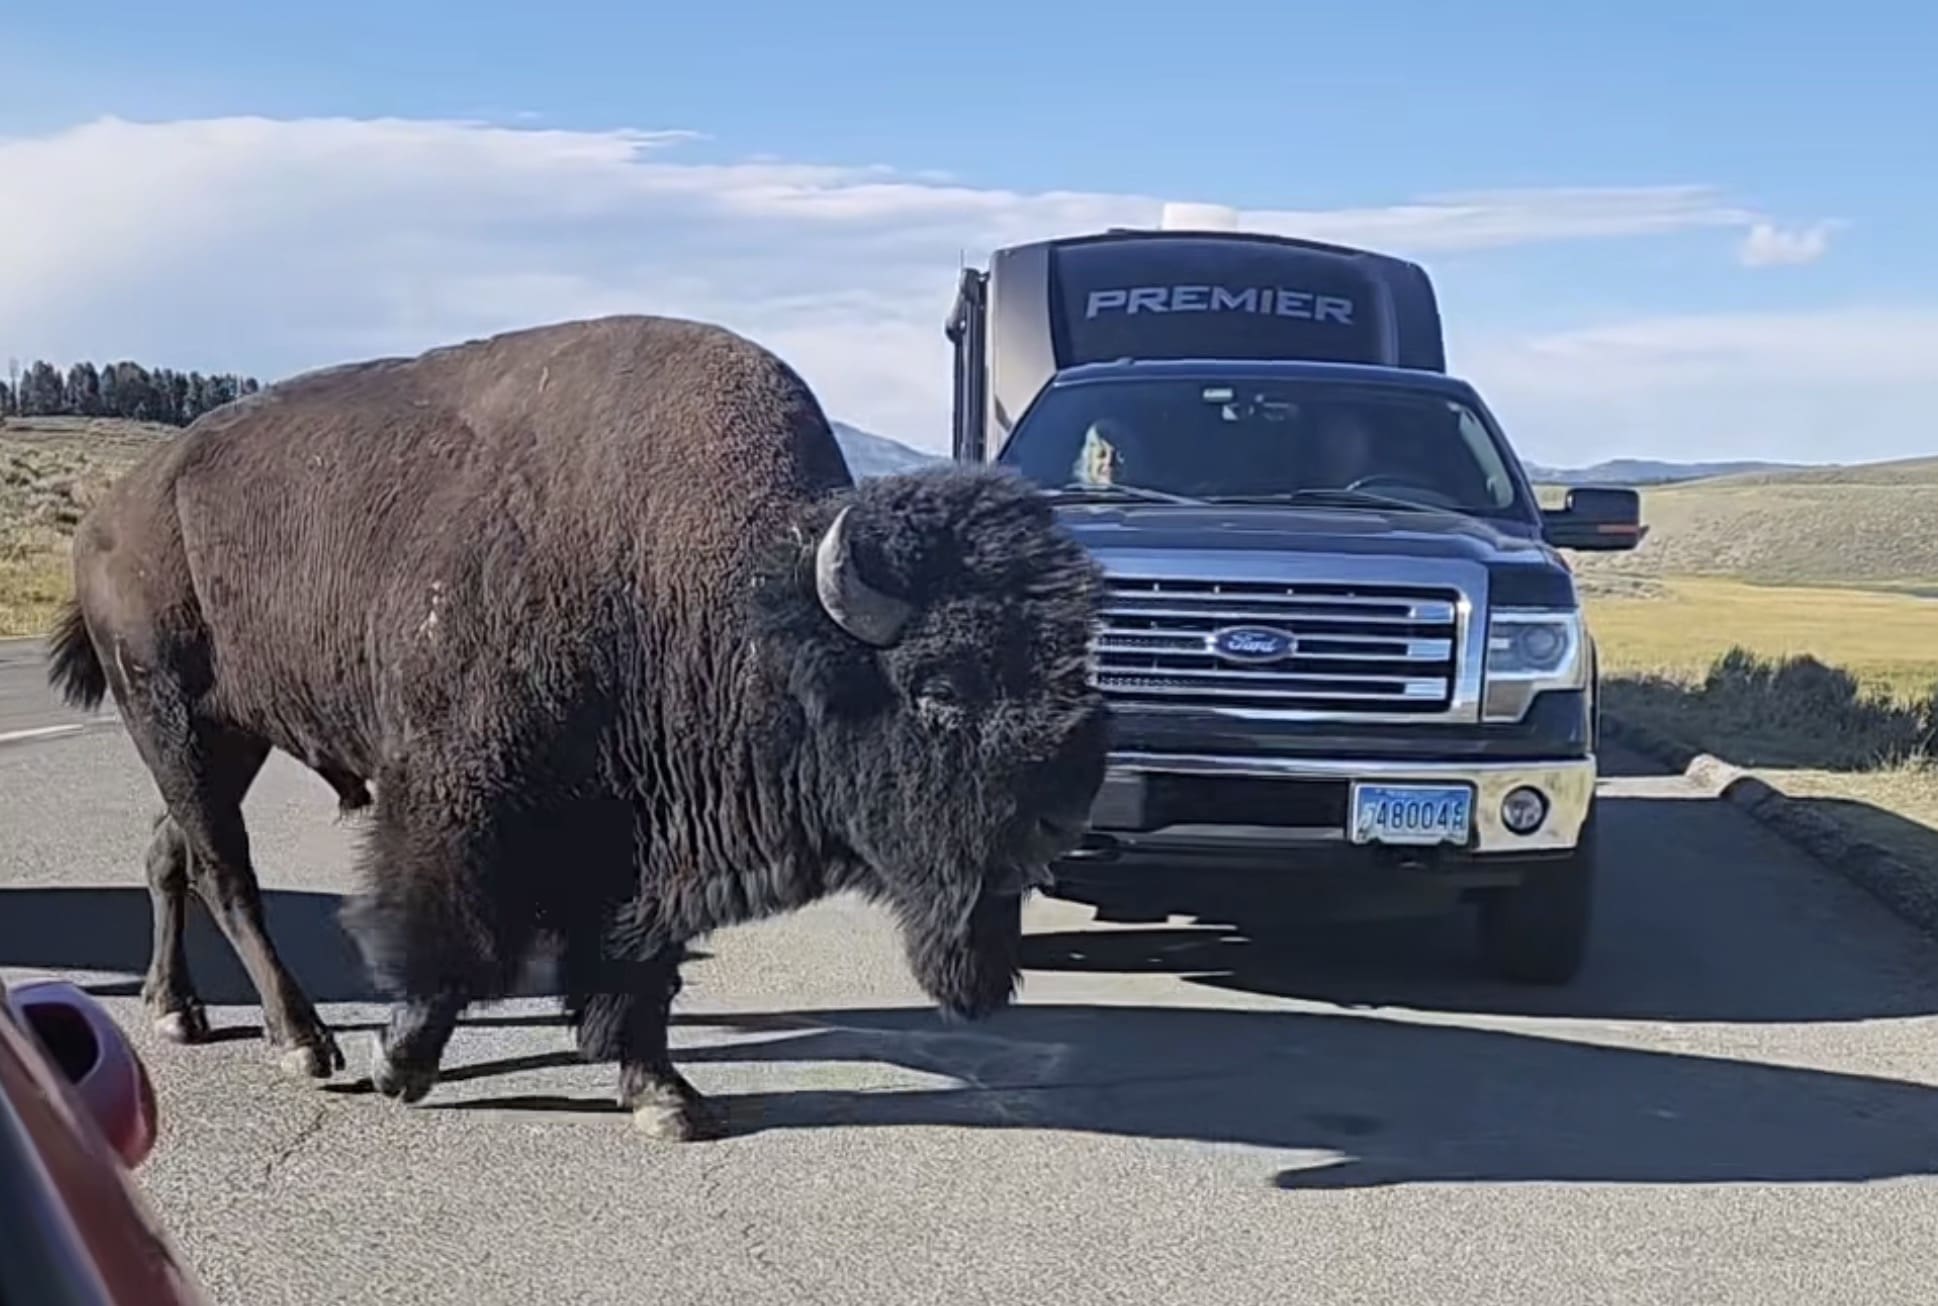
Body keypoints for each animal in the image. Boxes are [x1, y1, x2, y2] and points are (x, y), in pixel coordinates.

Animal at [47, 314, 1111, 1139]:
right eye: (939, 690)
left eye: (1071, 669)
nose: (1065, 806)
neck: (731, 600)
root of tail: (110, 513)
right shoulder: (457, 800)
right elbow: (453, 942)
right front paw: (402, 1063)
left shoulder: (642, 841)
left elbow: (635, 970)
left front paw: (665, 1096)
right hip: (172, 712)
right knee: (227, 871)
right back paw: (304, 1043)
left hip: (225, 736)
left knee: (172, 851)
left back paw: (178, 1010)